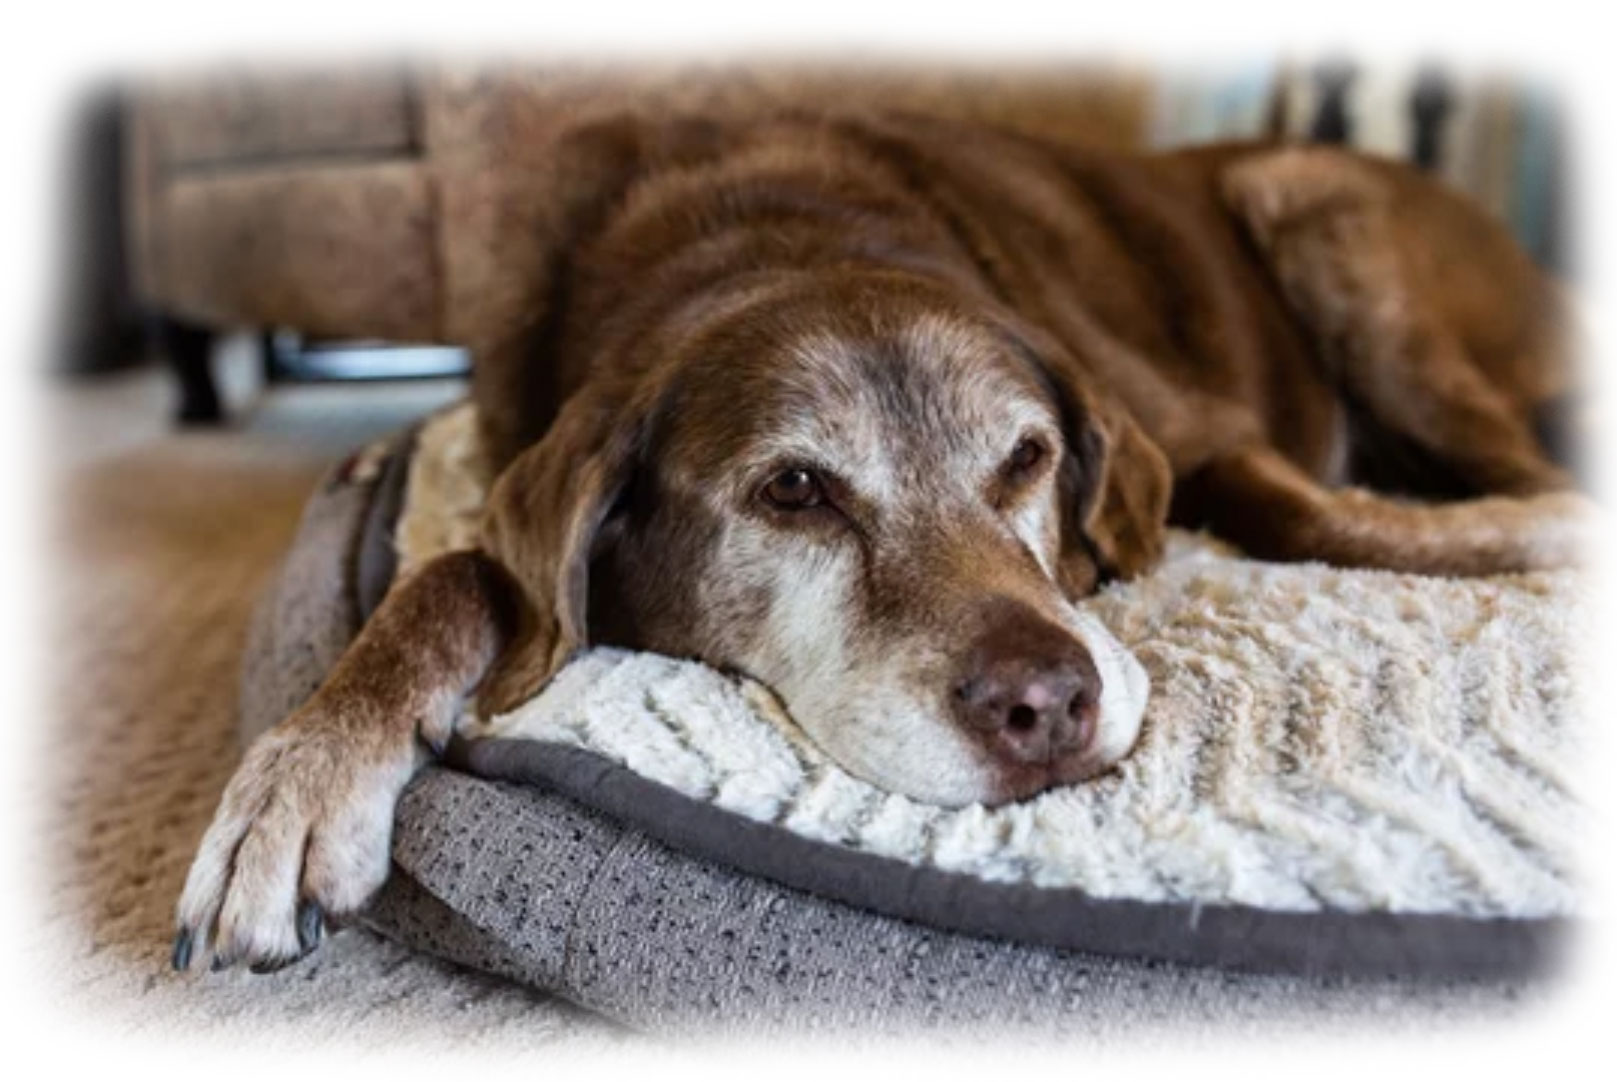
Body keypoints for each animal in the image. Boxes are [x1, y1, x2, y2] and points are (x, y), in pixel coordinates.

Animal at [167, 107, 1591, 970]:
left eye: (1027, 458)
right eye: (797, 490)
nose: (1048, 706)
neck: (774, 233)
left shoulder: (1199, 428)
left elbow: (1301, 508)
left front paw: (1537, 537)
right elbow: (459, 573)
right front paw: (299, 779)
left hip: (1323, 214)